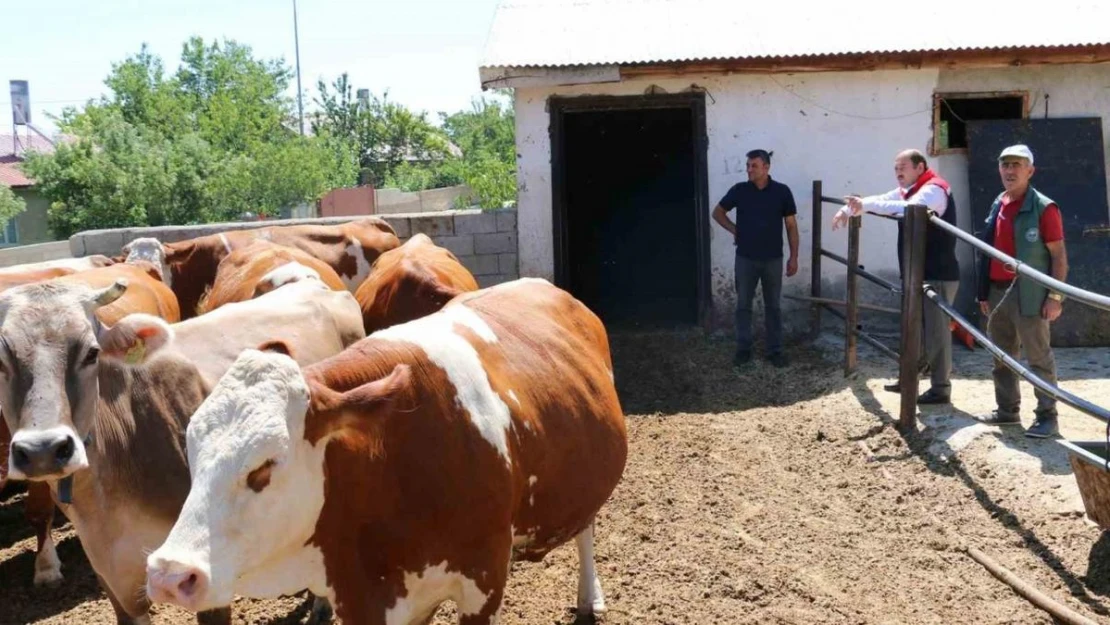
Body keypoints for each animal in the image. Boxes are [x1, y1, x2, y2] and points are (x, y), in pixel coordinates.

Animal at [144, 279, 630, 625]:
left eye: (265, 466)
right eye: (192, 454)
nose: (169, 575)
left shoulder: (484, 583)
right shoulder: (363, 598)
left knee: (586, 529)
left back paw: (589, 597)